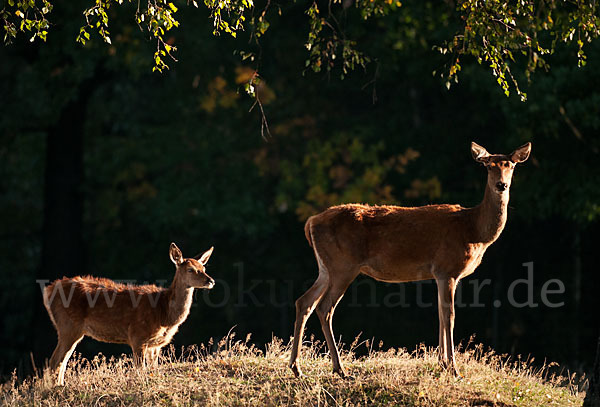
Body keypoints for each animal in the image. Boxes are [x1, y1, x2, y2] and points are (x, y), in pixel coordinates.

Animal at [42, 244, 216, 388]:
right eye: (190, 269)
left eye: (204, 267)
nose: (211, 281)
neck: (164, 313)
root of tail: (48, 291)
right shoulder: (137, 336)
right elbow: (140, 369)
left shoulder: (156, 345)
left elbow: (153, 368)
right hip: (68, 326)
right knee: (55, 360)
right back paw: (56, 388)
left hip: (72, 330)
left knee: (62, 360)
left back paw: (60, 386)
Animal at [290, 142, 528, 378]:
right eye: (488, 166)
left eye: (511, 165)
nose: (501, 185)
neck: (474, 230)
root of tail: (311, 222)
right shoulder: (447, 268)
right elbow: (449, 315)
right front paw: (453, 369)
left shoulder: (440, 274)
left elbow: (440, 313)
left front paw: (442, 363)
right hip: (343, 266)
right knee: (324, 308)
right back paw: (339, 369)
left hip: (326, 268)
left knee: (305, 302)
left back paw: (297, 368)